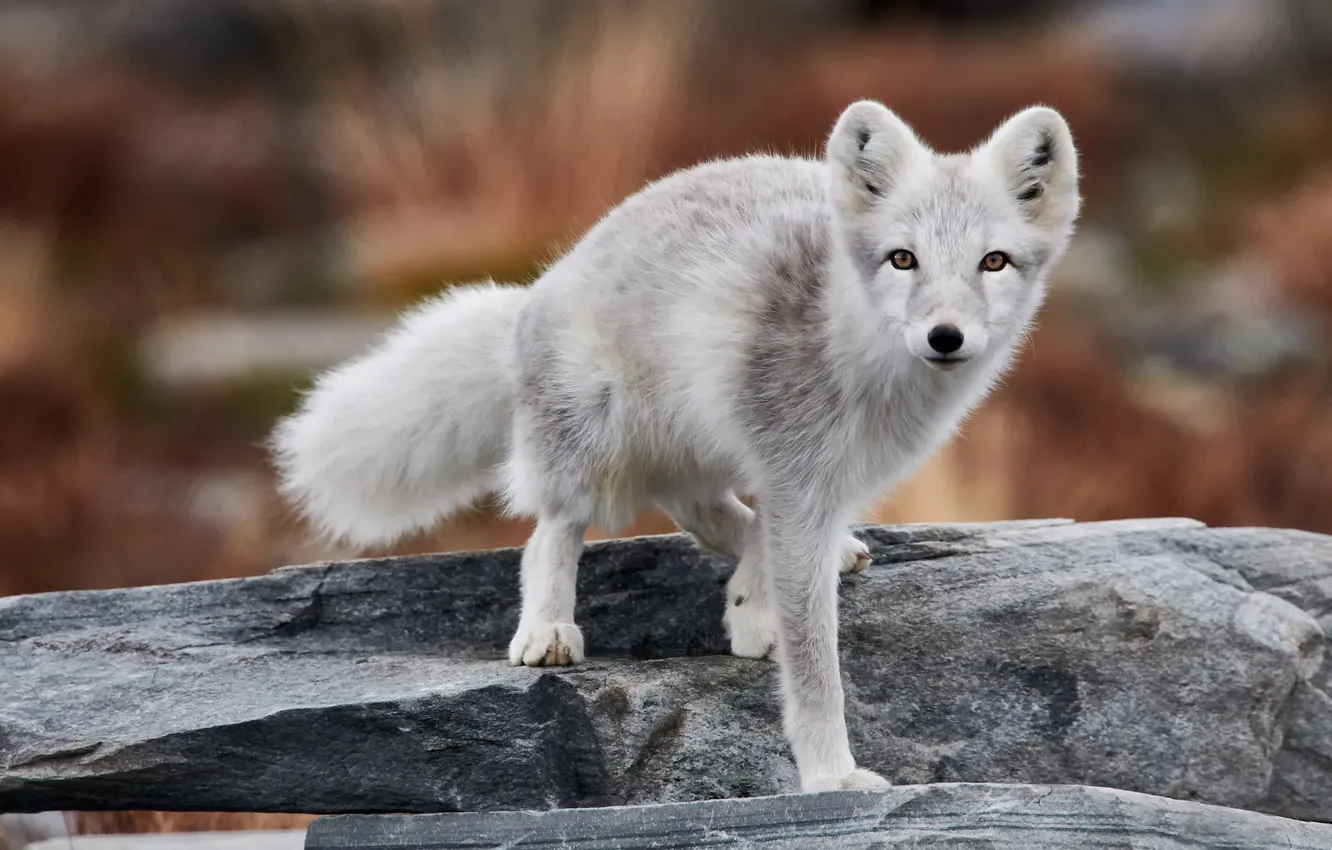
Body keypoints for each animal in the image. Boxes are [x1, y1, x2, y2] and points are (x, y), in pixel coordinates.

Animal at [270, 100, 1081, 792]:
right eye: (903, 259)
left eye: (994, 262)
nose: (946, 337)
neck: (860, 359)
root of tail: (535, 291)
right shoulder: (797, 476)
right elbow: (815, 665)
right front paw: (830, 775)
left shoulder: (820, 480)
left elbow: (779, 555)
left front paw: (758, 607)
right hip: (591, 437)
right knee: (552, 533)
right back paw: (549, 629)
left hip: (698, 439)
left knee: (705, 514)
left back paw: (772, 585)